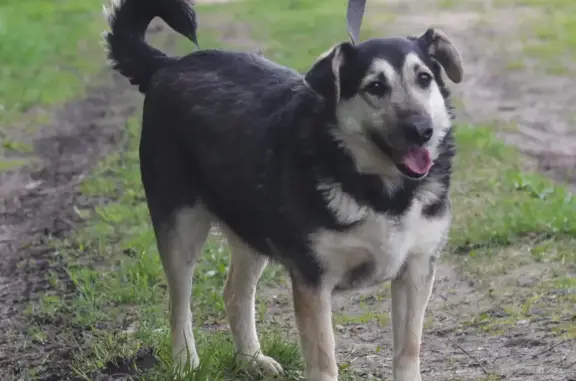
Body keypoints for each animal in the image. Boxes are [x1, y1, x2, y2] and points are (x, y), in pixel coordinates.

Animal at [102, 0, 464, 378]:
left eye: (424, 78)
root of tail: (167, 65)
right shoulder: (313, 281)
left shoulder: (417, 270)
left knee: (234, 294)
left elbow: (408, 351)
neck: (382, 191)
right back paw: (186, 362)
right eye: (375, 86)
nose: (421, 130)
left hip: (251, 228)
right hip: (180, 227)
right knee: (178, 303)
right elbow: (323, 361)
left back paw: (252, 359)